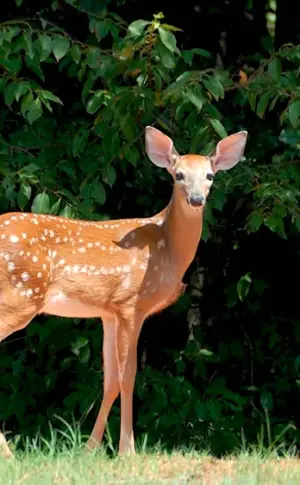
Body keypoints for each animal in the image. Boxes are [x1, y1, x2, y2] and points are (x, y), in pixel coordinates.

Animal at [0, 125, 248, 458]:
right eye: (178, 175)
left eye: (210, 175)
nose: (196, 199)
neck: (167, 251)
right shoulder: (131, 303)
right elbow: (128, 375)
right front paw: (127, 450)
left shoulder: (107, 312)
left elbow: (110, 380)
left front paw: (90, 449)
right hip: (20, 296)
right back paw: (9, 454)